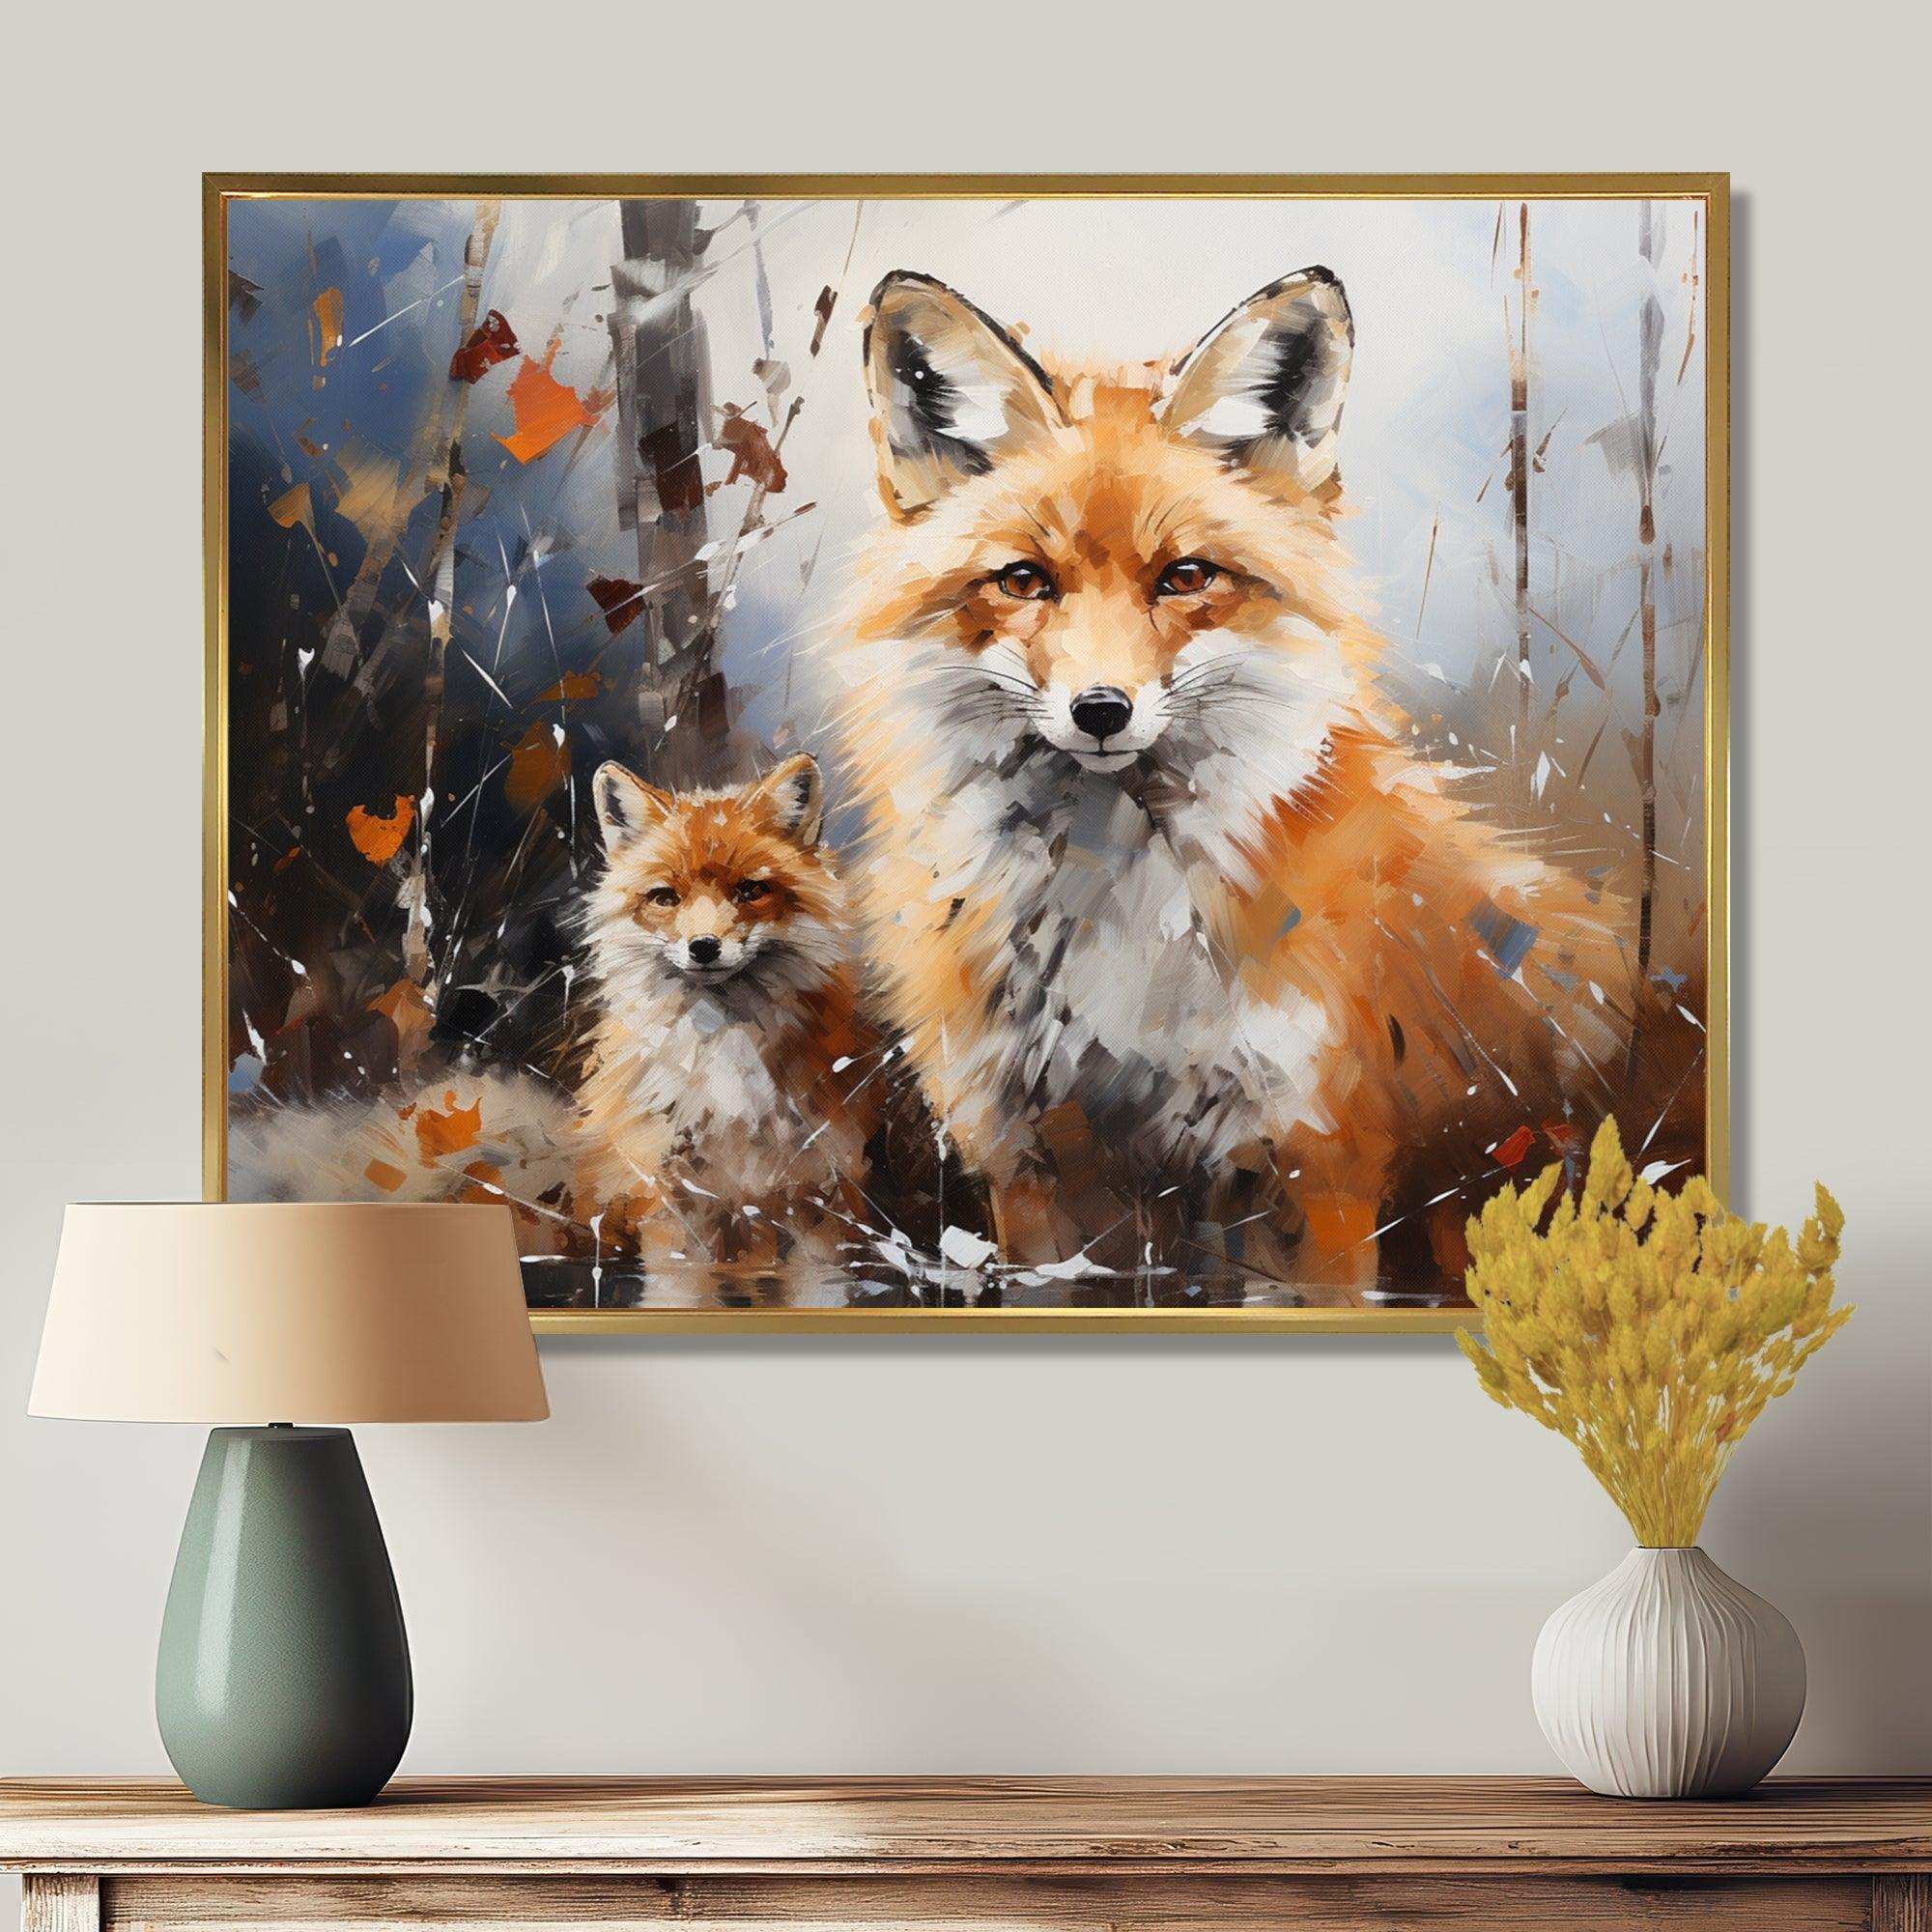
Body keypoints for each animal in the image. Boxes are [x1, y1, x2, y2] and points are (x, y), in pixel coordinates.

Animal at [835, 267, 1635, 1297]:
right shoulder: (1030, 1159)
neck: (1115, 914)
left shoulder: (1314, 1157)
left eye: (1185, 577)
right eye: (1022, 581)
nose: (1102, 710)